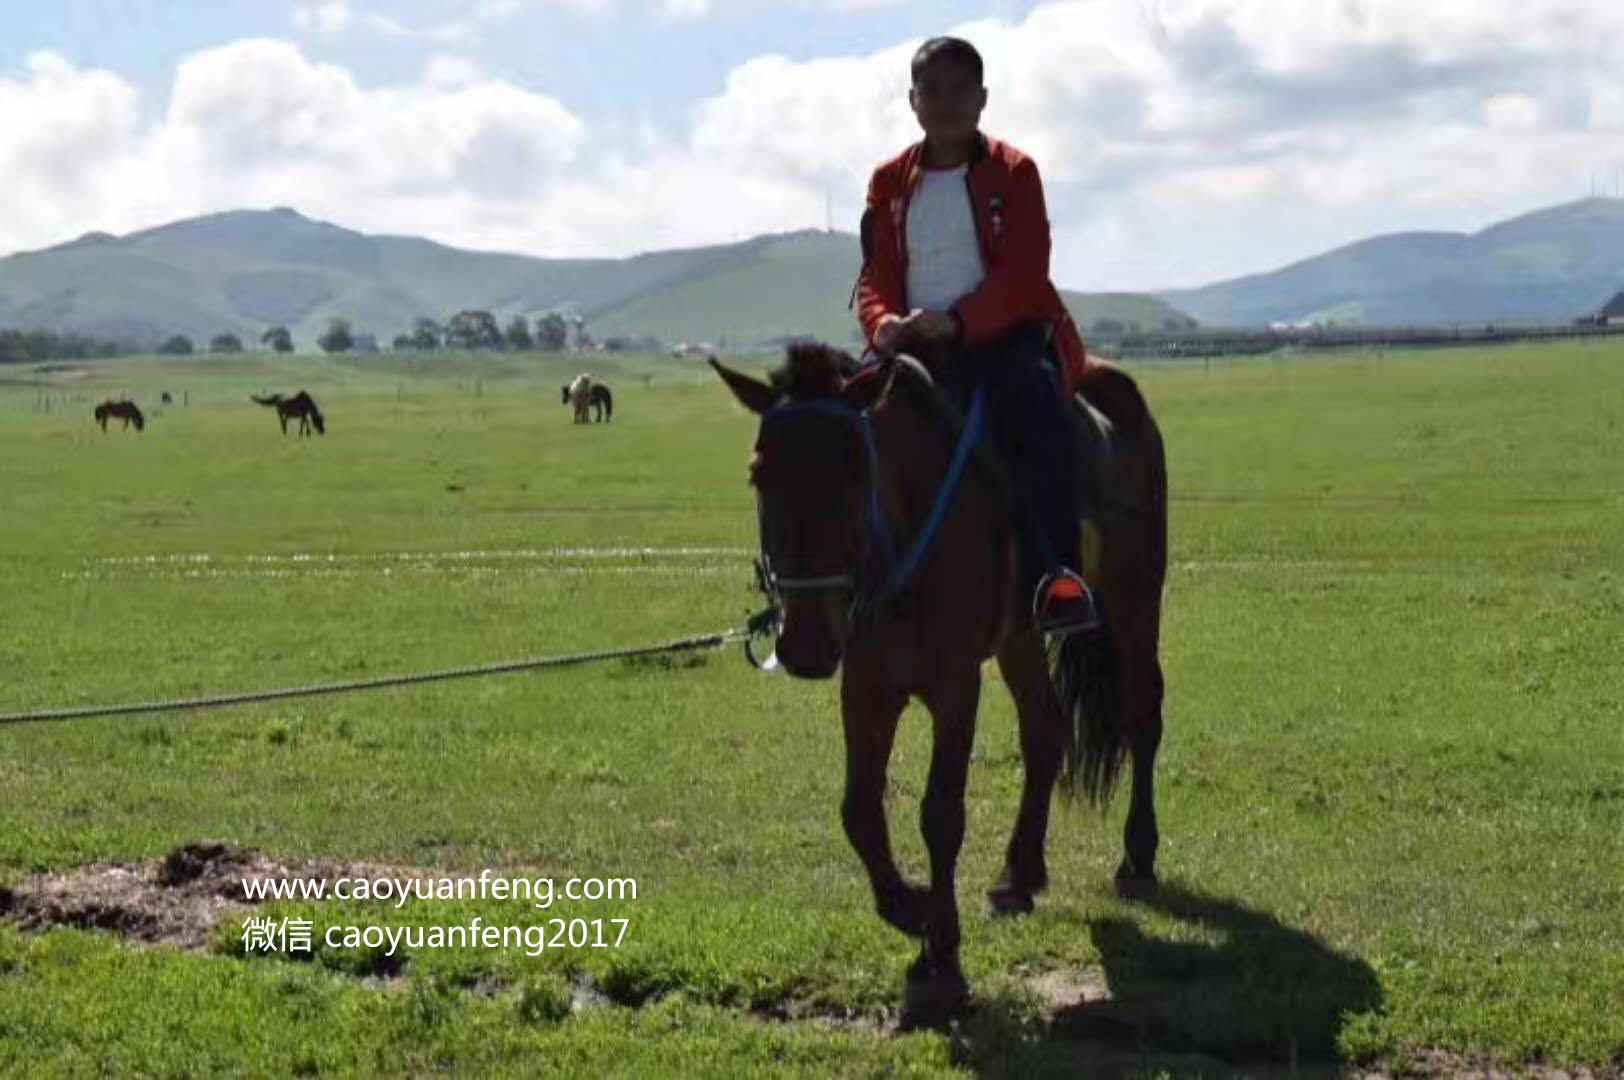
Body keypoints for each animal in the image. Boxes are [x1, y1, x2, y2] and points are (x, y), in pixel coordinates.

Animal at [714, 341, 1169, 1026]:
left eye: (856, 473)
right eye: (758, 474)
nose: (807, 643)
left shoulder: (956, 686)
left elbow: (940, 814)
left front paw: (943, 958)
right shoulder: (868, 687)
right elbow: (858, 811)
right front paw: (913, 912)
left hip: (1134, 599)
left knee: (1143, 713)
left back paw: (1137, 857)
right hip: (1019, 637)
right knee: (1044, 731)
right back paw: (1020, 873)